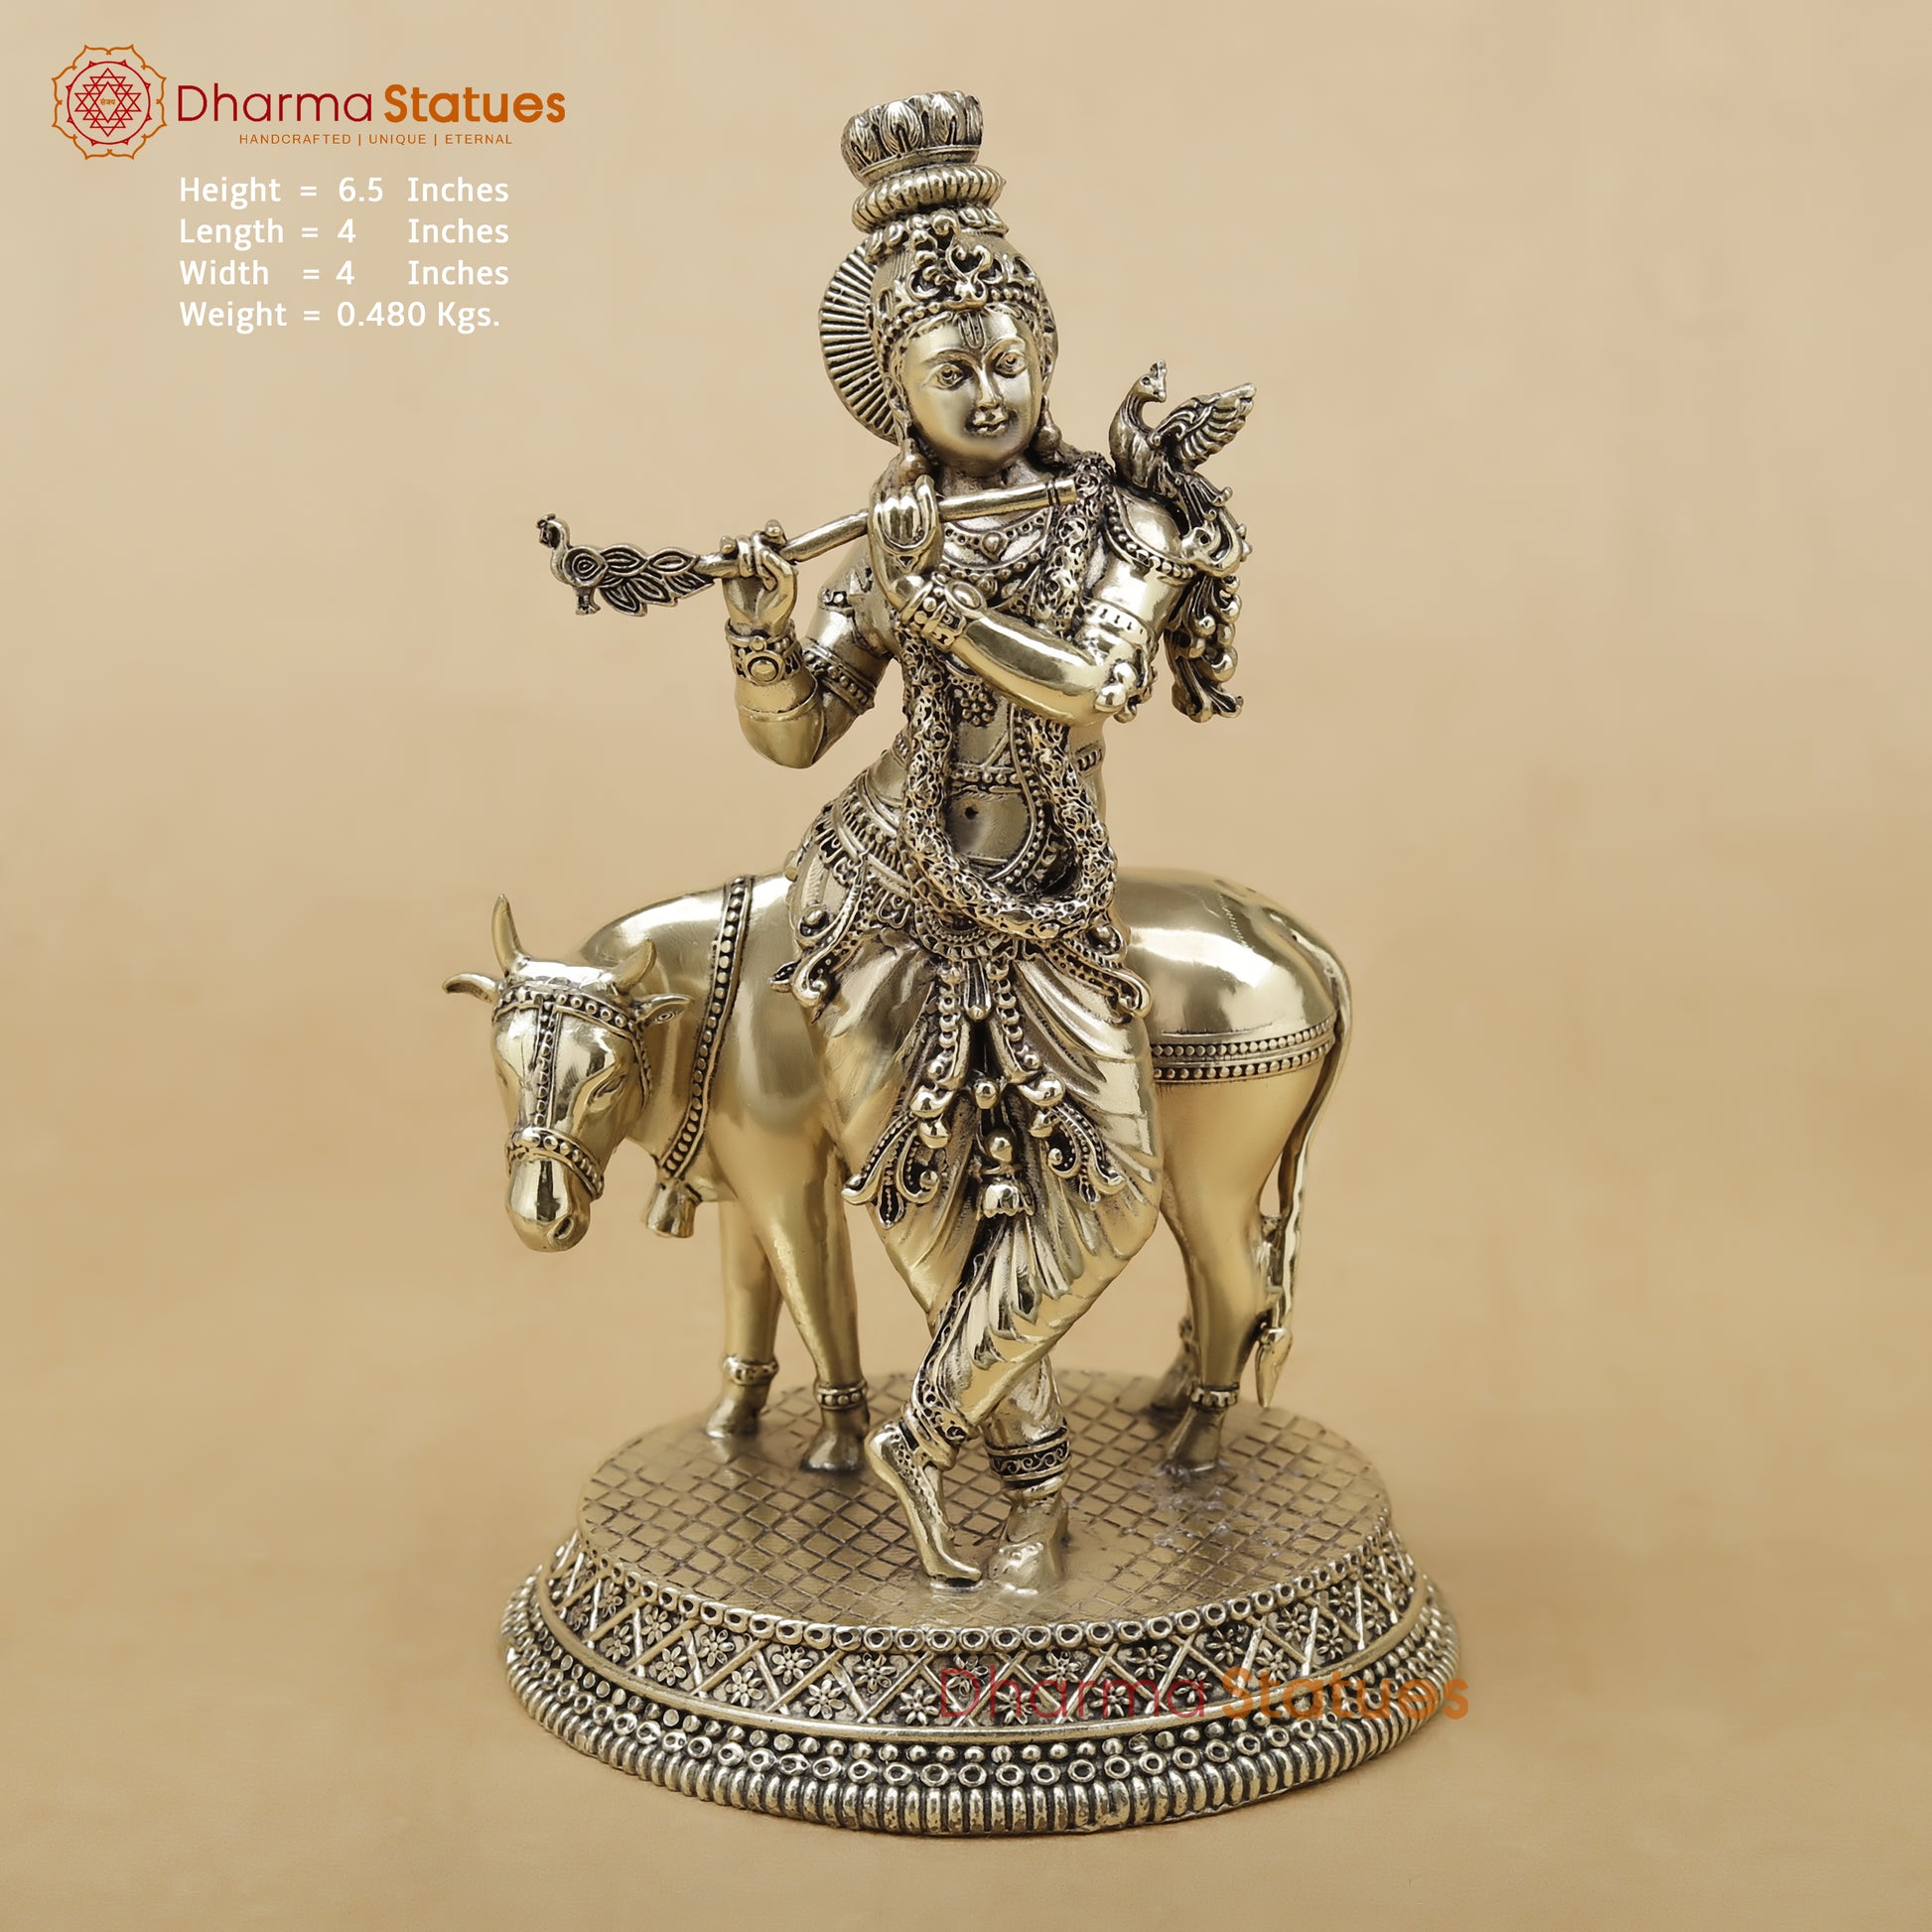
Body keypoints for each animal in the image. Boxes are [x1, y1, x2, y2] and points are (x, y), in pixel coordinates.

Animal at [446, 870, 1349, 1477]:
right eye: (499, 1066)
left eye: (601, 1080)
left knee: (1239, 1287)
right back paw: (1169, 1401)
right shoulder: (741, 1172)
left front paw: (836, 1444)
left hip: (1207, 1180)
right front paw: (731, 1421)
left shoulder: (789, 1183)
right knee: (1240, 1276)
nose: (540, 1217)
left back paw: (1193, 1446)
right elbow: (749, 1298)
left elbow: (818, 1295)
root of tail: (1285, 933)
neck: (708, 995)